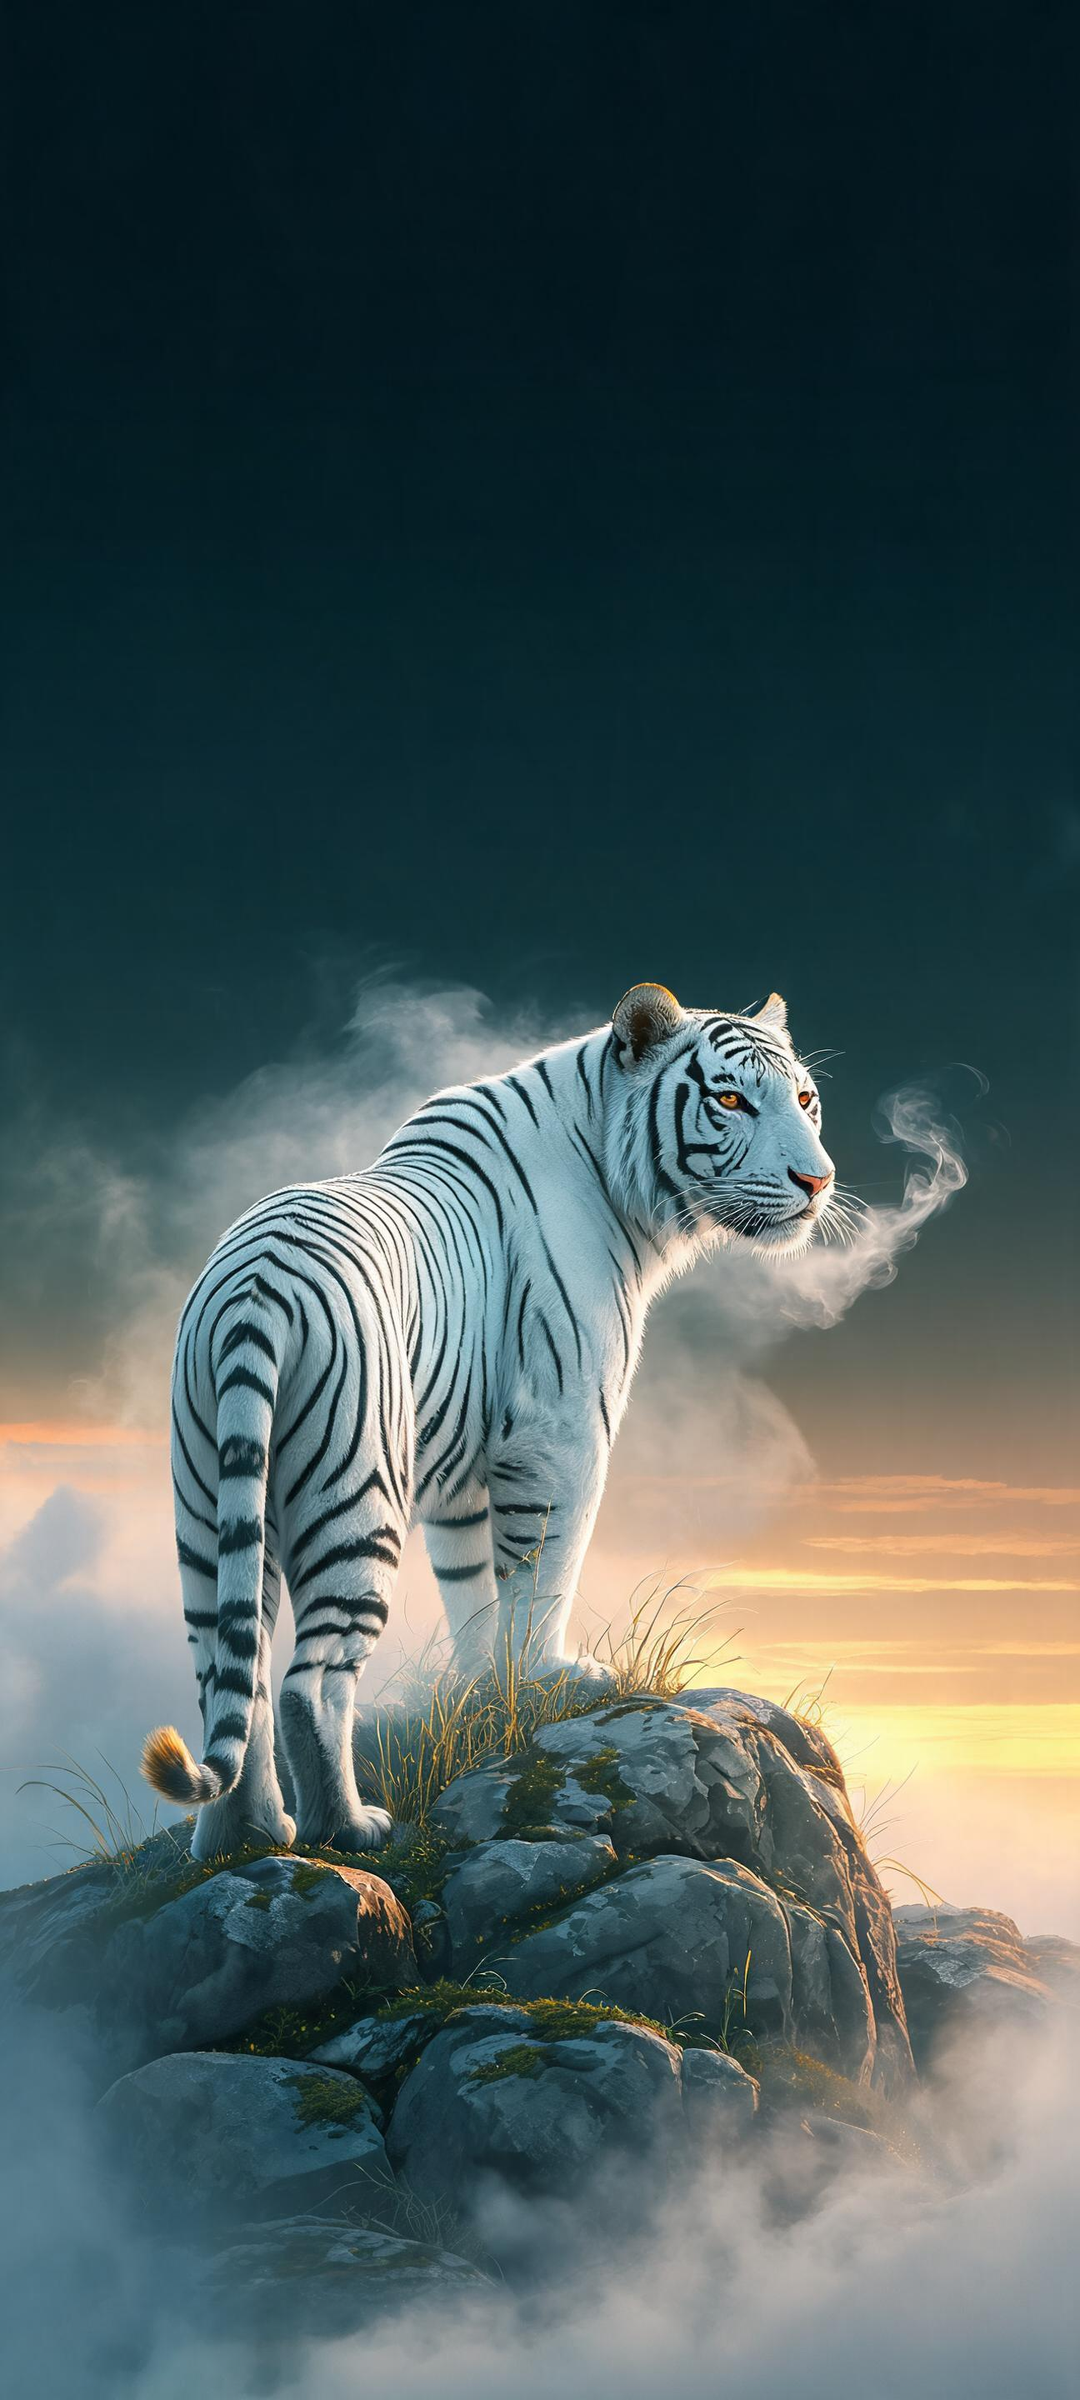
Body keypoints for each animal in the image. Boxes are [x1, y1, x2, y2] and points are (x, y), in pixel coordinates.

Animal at [142, 982, 835, 1860]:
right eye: (733, 1099)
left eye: (805, 1099)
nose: (817, 1180)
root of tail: (255, 1284)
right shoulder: (562, 1430)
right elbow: (547, 1567)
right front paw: (550, 1680)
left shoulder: (461, 1470)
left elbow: (471, 1589)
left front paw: (483, 1686)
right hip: (356, 1494)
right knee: (311, 1680)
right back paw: (349, 1828)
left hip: (211, 1501)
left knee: (232, 1670)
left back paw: (247, 1837)